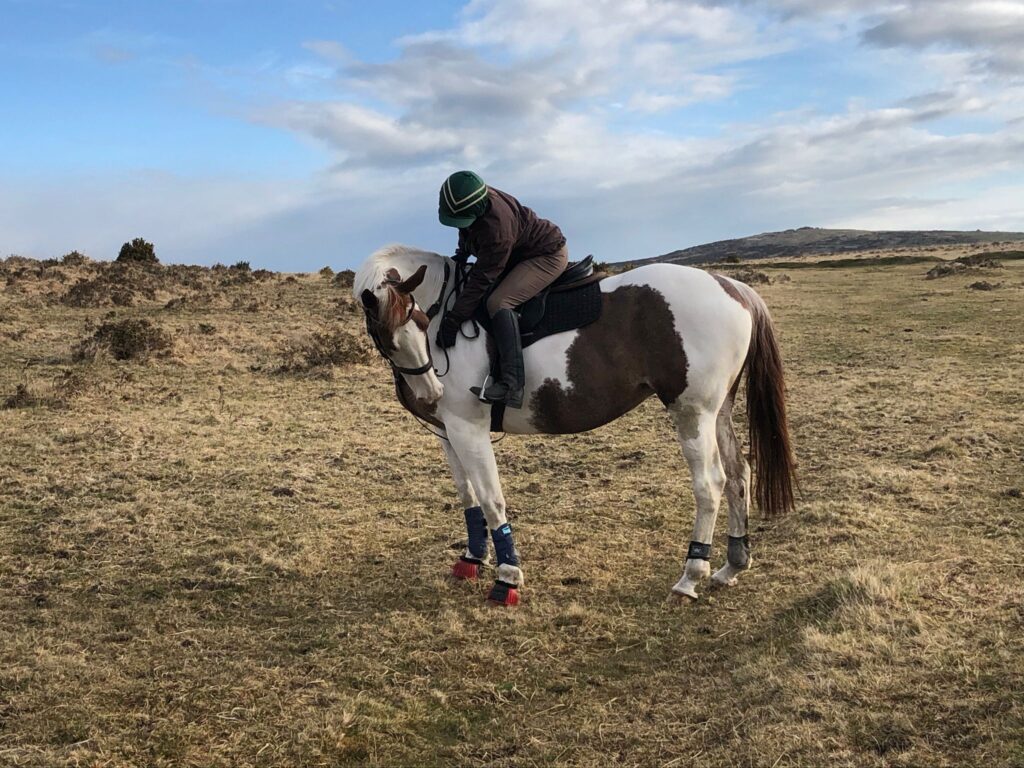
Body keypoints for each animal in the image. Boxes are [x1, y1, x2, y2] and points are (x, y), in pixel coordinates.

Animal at [354, 245, 795, 606]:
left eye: (420, 320)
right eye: (388, 334)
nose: (429, 389)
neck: (449, 312)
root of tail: (730, 285)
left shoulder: (469, 429)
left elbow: (492, 499)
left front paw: (507, 577)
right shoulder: (449, 431)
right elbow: (468, 496)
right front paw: (472, 558)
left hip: (692, 414)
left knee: (711, 485)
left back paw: (691, 576)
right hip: (718, 412)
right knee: (739, 475)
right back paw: (732, 564)